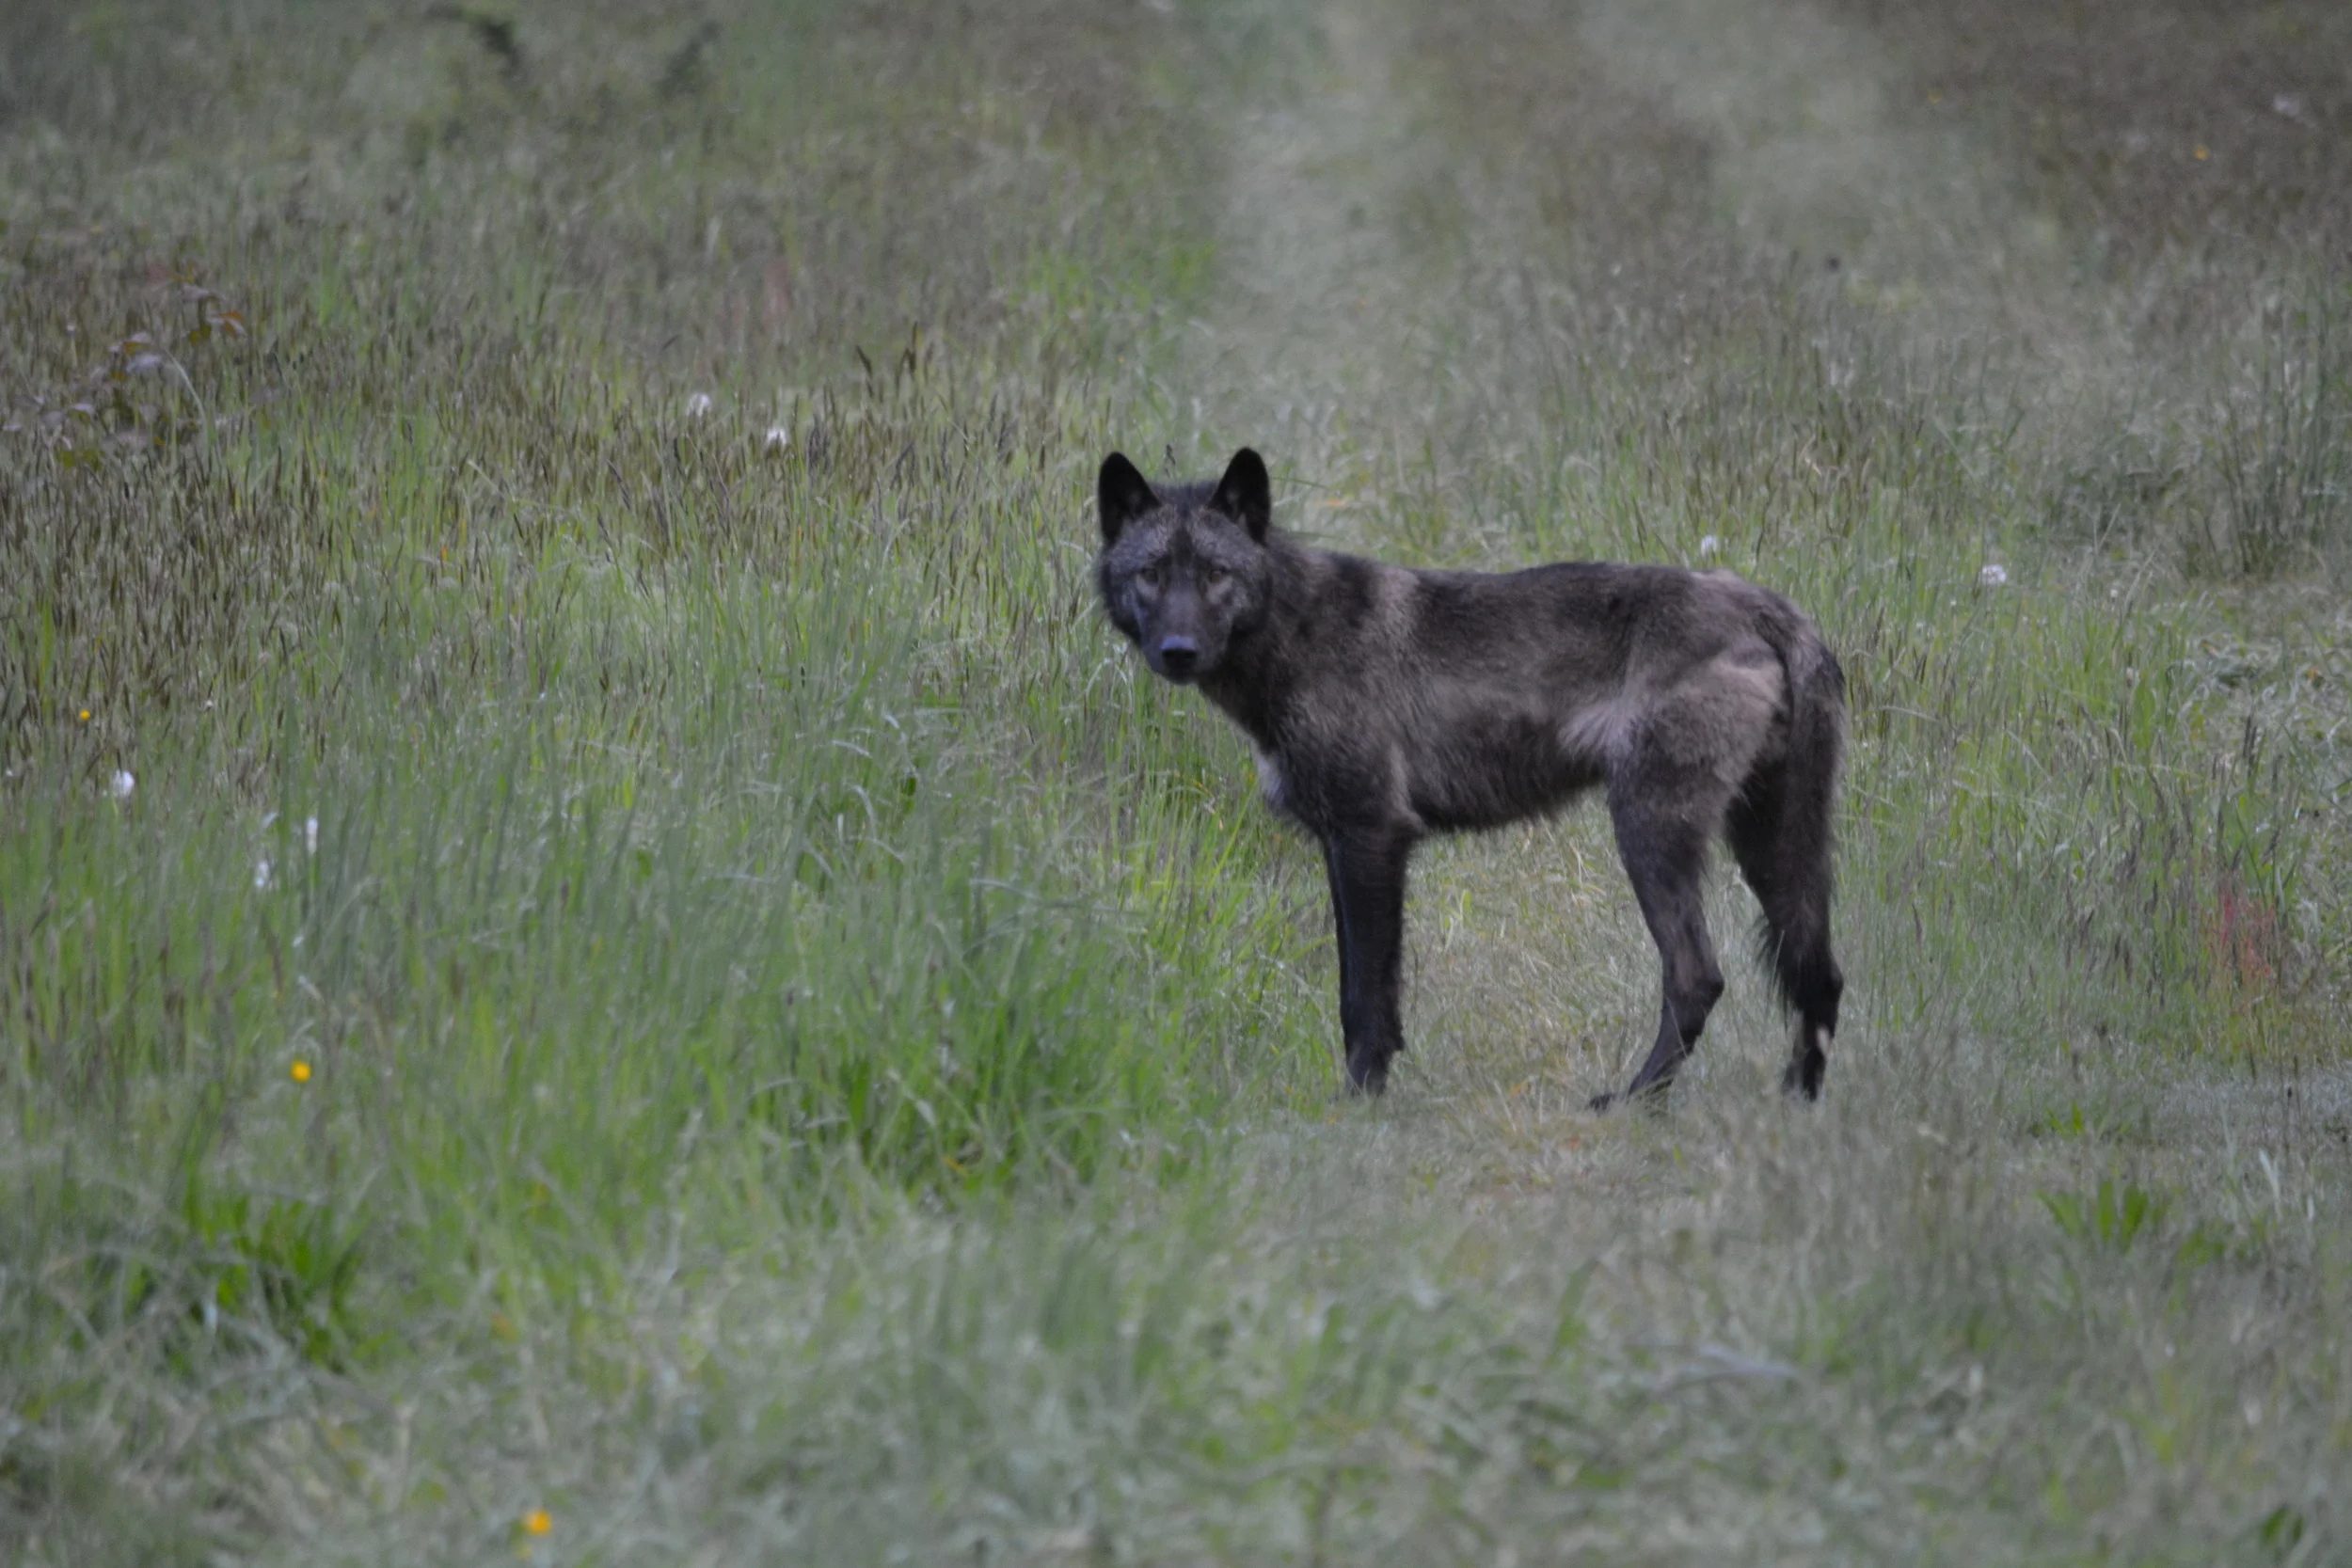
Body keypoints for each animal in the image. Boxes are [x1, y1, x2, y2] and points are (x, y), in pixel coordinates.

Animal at [1093, 446, 1847, 1108]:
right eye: (1152, 573)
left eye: (1216, 573)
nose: (1178, 651)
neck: (1294, 633)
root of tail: (1766, 604)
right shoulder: (1342, 846)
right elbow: (1361, 992)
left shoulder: (1371, 837)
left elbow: (1363, 999)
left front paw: (1357, 1104)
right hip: (1772, 852)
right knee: (1822, 977)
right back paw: (1798, 1103)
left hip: (1650, 834)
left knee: (1699, 978)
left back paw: (1634, 1101)